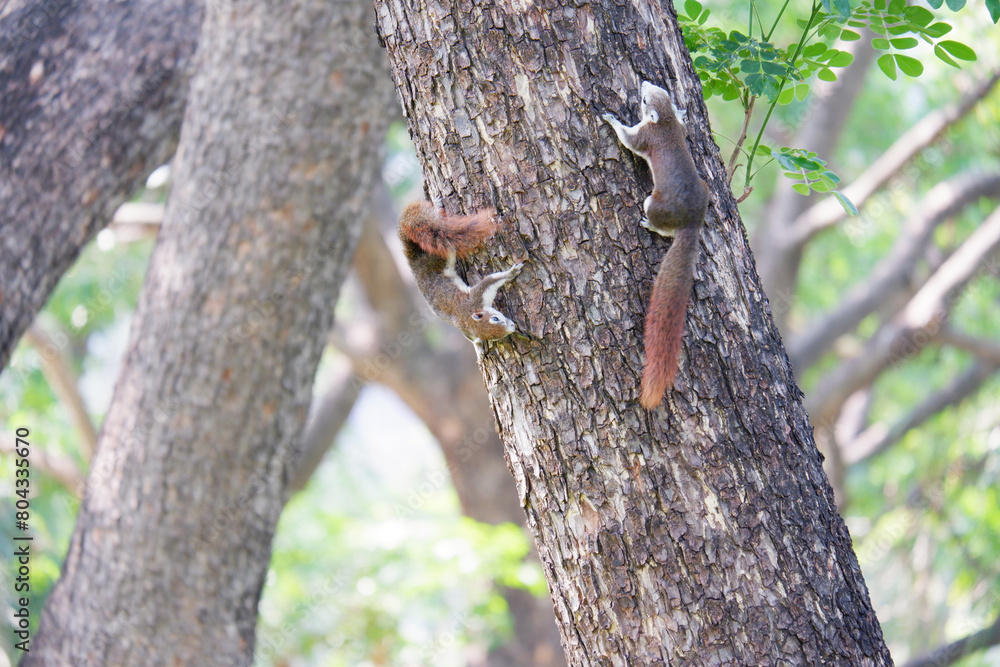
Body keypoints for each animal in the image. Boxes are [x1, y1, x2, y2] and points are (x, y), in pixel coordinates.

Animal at [398, 200, 524, 343]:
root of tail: (416, 261)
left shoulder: (471, 306)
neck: (466, 316)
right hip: (442, 251)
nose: (513, 326)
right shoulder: (471, 307)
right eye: (495, 320)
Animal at [602, 81, 709, 409]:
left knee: (662, 228)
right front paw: (685, 113)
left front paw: (611, 119)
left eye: (644, 100)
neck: (664, 123)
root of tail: (692, 224)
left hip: (653, 204)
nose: (644, 83)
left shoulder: (644, 137)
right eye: (658, 91)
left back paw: (650, 225)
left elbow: (628, 140)